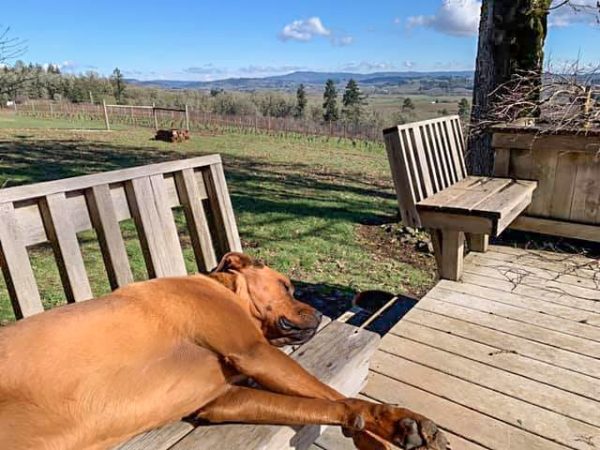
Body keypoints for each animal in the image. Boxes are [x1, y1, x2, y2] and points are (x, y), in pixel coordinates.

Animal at [0, 253, 446, 450]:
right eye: (286, 286)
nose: (320, 313)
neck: (223, 290)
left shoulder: (221, 399)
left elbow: (328, 404)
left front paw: (382, 434)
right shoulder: (253, 351)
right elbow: (337, 395)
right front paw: (396, 422)